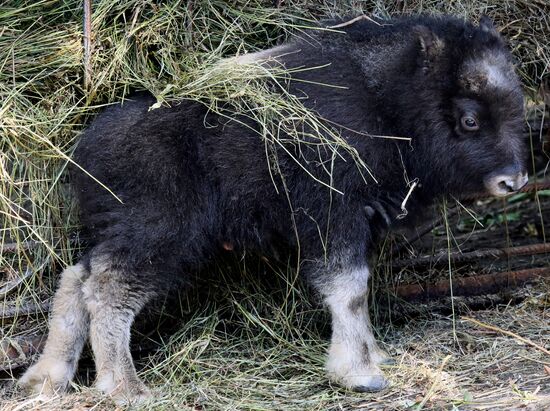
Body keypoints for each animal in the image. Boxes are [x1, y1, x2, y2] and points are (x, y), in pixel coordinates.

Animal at [20, 14, 532, 404]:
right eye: (470, 118)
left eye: (517, 105)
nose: (514, 180)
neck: (385, 102)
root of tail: (84, 152)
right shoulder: (334, 218)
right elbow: (350, 289)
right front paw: (360, 373)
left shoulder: (362, 222)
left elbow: (360, 289)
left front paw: (374, 355)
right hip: (158, 235)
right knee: (107, 290)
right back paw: (126, 389)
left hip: (122, 232)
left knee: (76, 278)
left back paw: (47, 379)